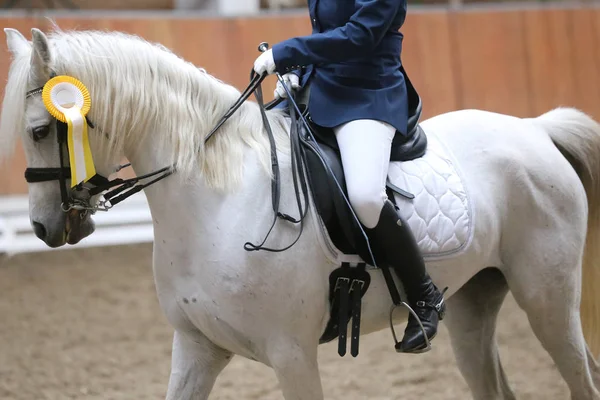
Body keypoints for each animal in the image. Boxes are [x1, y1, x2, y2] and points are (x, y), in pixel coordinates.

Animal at [1, 26, 600, 398]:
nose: (43, 228)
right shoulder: (197, 347)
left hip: (547, 299)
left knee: (581, 379)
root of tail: (534, 128)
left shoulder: (291, 354)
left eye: (40, 130)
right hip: (475, 303)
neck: (217, 202)